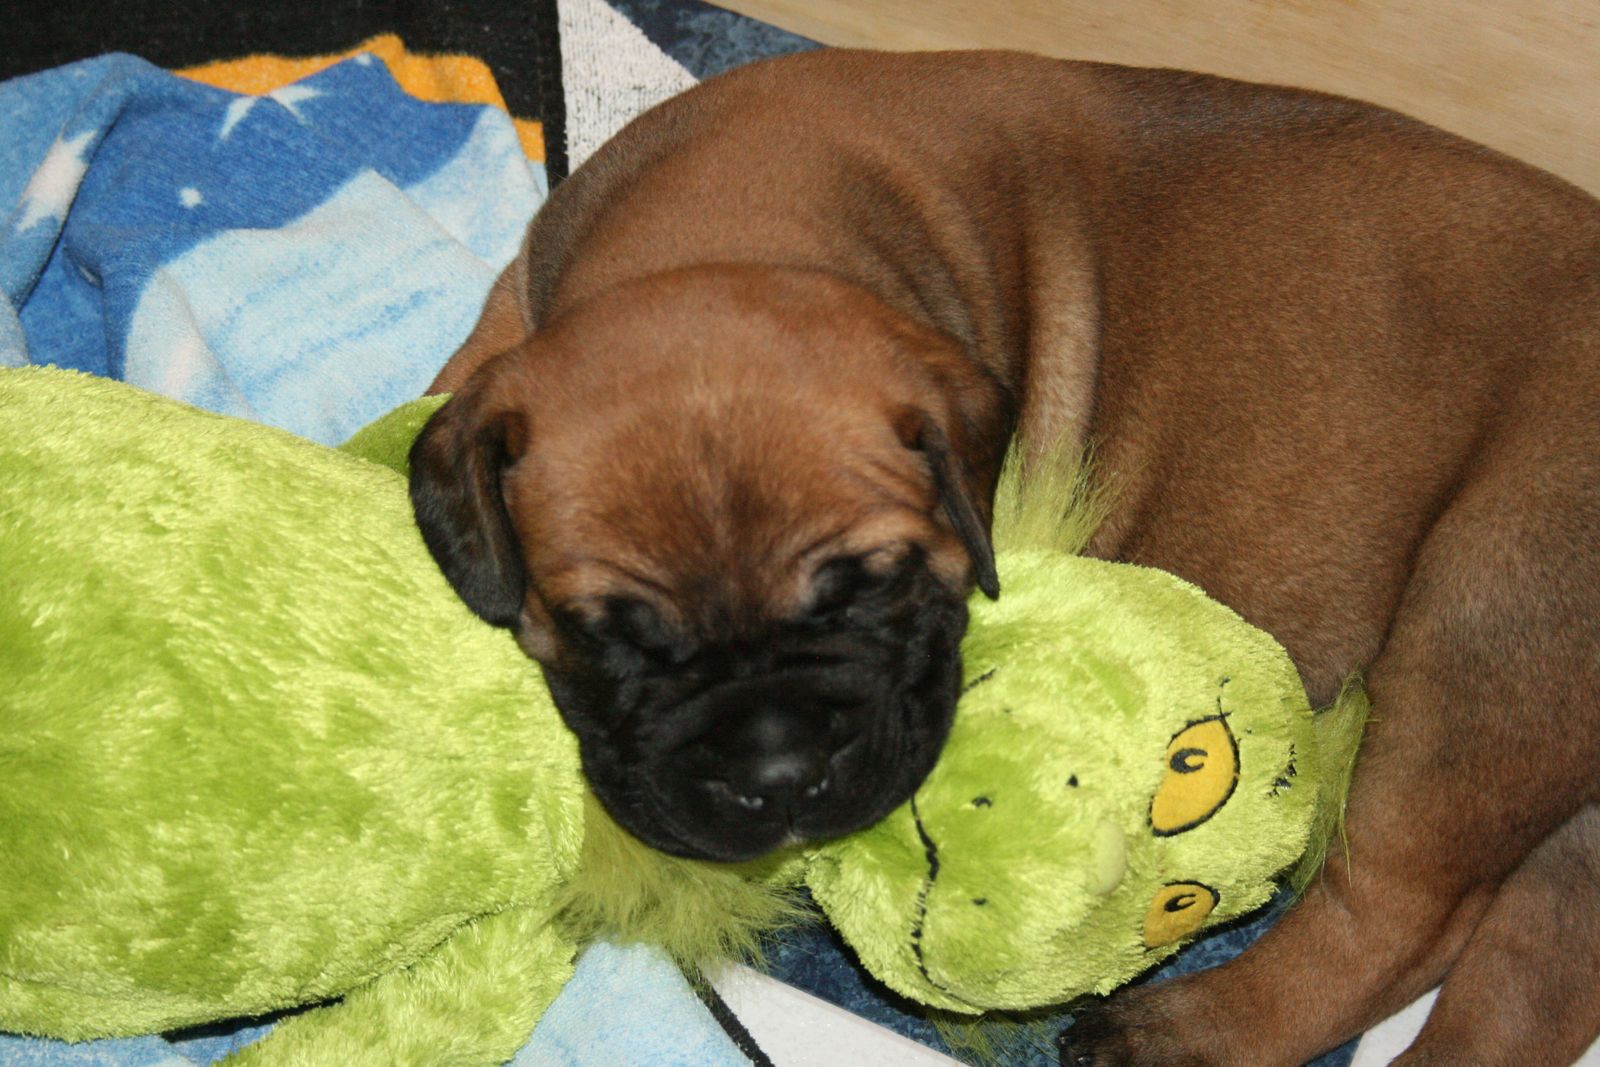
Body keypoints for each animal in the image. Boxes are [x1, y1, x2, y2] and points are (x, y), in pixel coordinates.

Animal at [410, 49, 1600, 1065]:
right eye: (605, 634)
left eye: (881, 586)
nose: (779, 774)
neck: (724, 233)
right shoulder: (510, 311)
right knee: (1526, 975)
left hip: (1489, 618)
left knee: (1396, 912)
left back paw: (1179, 1029)